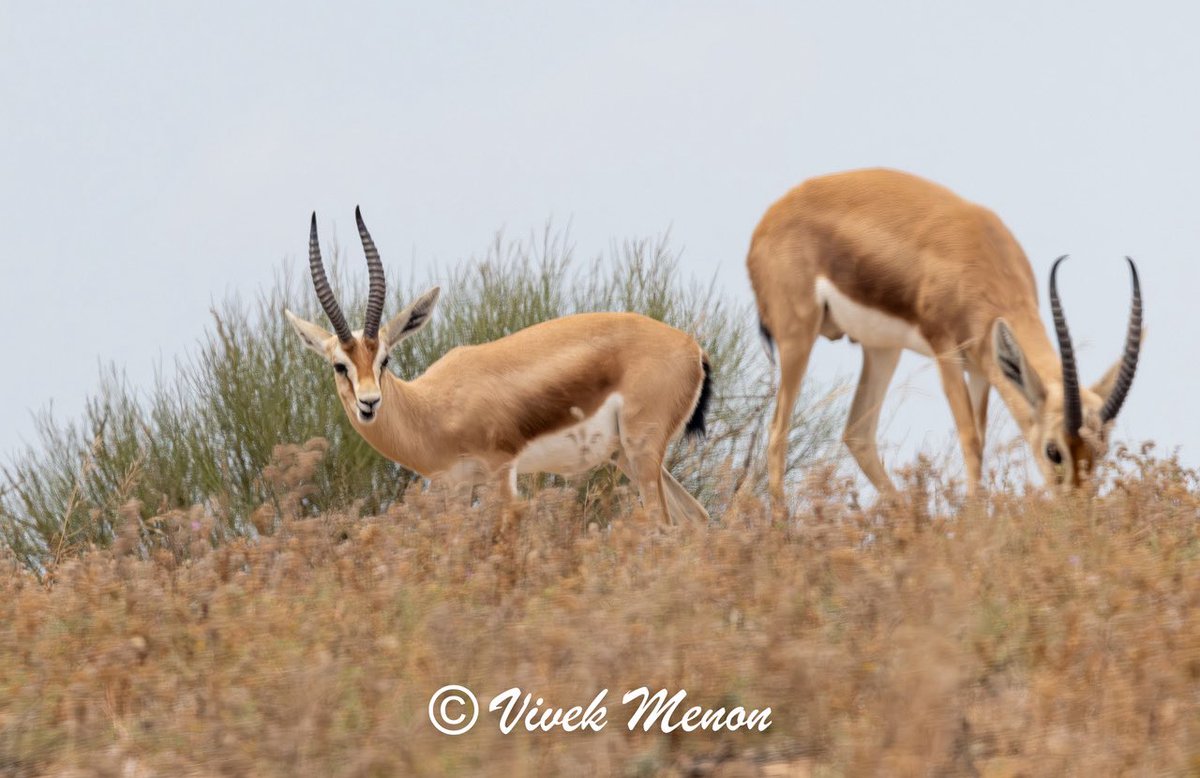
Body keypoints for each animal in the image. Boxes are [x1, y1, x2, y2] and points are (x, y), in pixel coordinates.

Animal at [285, 208, 712, 525]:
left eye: (384, 359)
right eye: (340, 365)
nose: (369, 402)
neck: (432, 407)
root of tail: (691, 347)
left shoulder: (501, 471)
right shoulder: (455, 487)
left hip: (642, 451)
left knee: (663, 523)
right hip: (624, 454)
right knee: (695, 516)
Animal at [747, 168, 1142, 503]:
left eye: (1101, 450)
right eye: (1053, 450)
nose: (1078, 507)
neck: (981, 257)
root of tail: (770, 218)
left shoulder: (982, 367)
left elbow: (980, 437)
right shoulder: (945, 351)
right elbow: (970, 439)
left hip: (882, 349)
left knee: (857, 433)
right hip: (798, 337)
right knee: (778, 432)